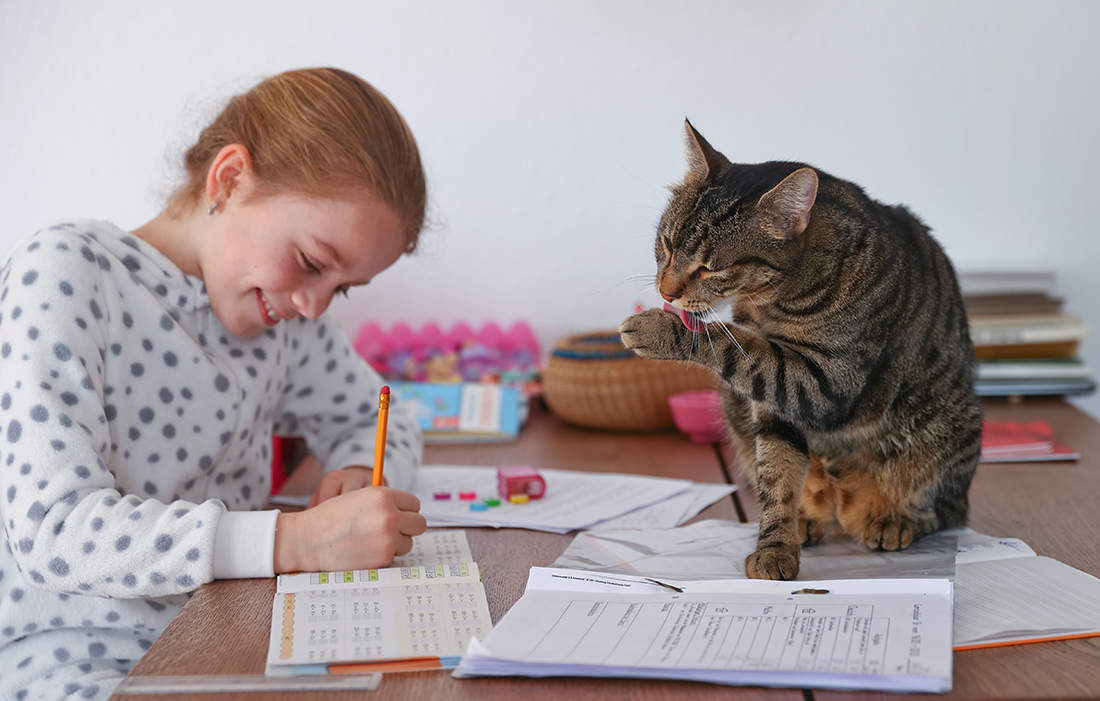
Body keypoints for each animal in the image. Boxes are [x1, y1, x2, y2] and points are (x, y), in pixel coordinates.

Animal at [624, 121, 985, 581]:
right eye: (667, 244)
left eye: (709, 268)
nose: (665, 292)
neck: (771, 302)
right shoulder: (772, 405)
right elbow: (777, 477)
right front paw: (777, 545)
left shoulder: (824, 382)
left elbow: (729, 343)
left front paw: (659, 329)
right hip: (733, 406)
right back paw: (809, 519)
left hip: (950, 425)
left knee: (946, 511)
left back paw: (893, 520)